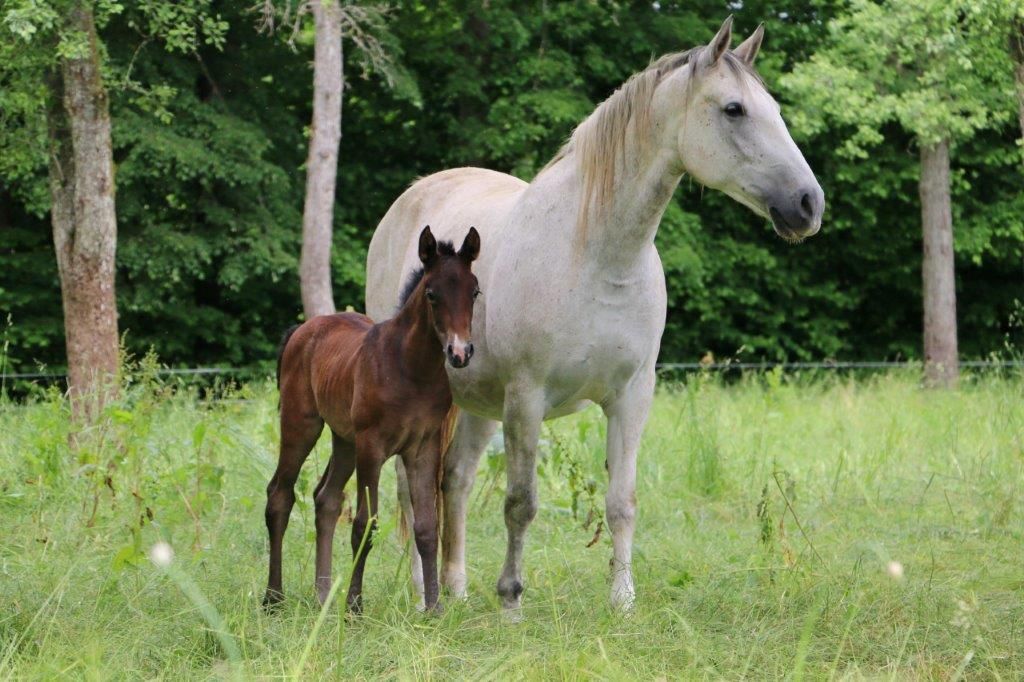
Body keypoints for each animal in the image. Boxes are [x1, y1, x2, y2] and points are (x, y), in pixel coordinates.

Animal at [264, 226, 481, 613]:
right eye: (431, 294)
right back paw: (274, 598)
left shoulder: (422, 448)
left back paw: (322, 596)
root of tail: (302, 330)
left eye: (474, 291)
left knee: (326, 498)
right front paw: (354, 607)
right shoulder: (372, 446)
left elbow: (427, 526)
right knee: (279, 494)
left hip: (344, 439)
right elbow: (365, 524)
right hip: (302, 425)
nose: (459, 353)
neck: (411, 370)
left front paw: (434, 609)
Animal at [365, 17, 824, 615]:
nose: (808, 204)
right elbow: (521, 503)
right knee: (411, 488)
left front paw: (622, 601)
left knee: (455, 482)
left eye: (774, 108)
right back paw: (426, 596)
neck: (596, 255)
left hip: (476, 401)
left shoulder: (631, 397)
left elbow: (622, 501)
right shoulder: (526, 399)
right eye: (733, 110)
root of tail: (414, 196)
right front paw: (511, 602)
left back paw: (458, 591)